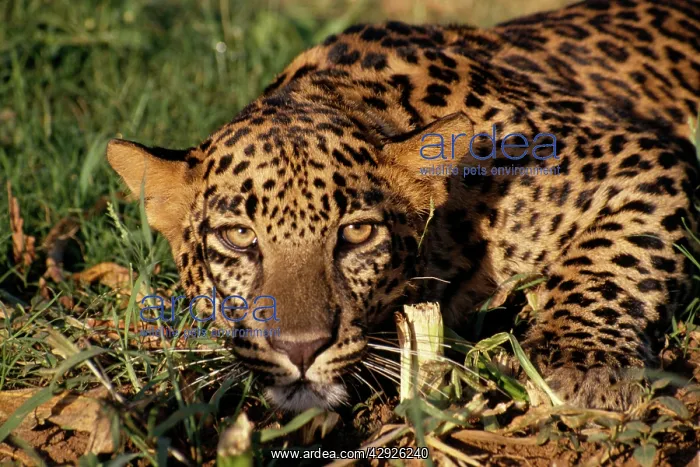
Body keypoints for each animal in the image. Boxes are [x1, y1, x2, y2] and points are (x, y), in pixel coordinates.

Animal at [107, 0, 700, 412]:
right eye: (239, 237)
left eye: (357, 233)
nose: (301, 350)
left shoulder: (640, 159)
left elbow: (610, 263)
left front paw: (584, 365)